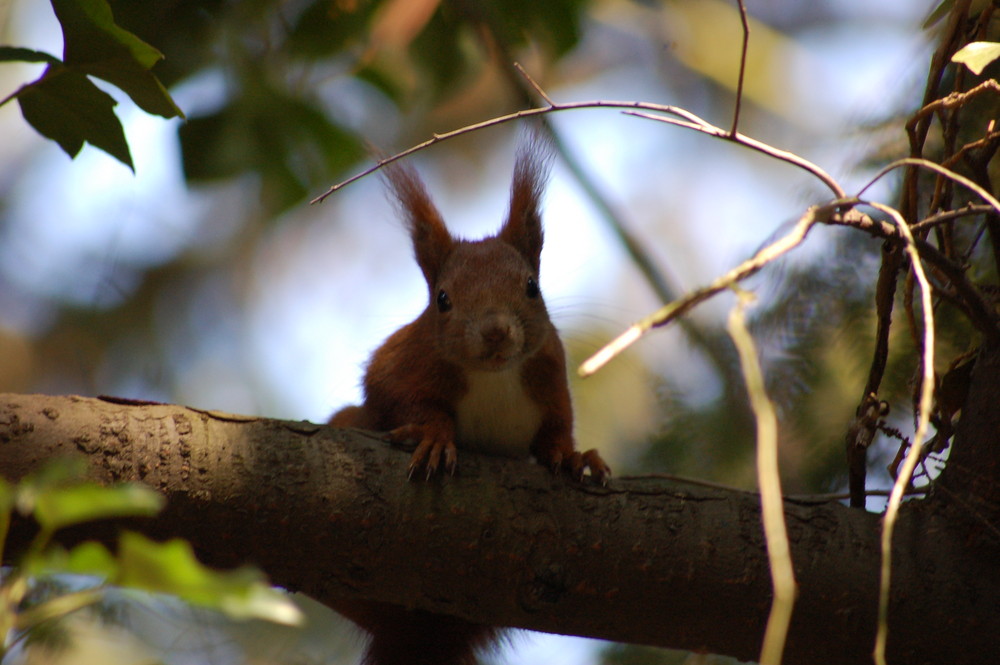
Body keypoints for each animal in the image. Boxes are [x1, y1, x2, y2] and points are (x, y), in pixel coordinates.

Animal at [330, 139, 608, 664]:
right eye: (442, 299)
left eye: (531, 287)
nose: (495, 331)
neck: (494, 377)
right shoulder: (400, 363)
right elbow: (399, 398)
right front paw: (435, 438)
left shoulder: (551, 377)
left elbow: (556, 429)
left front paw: (572, 455)